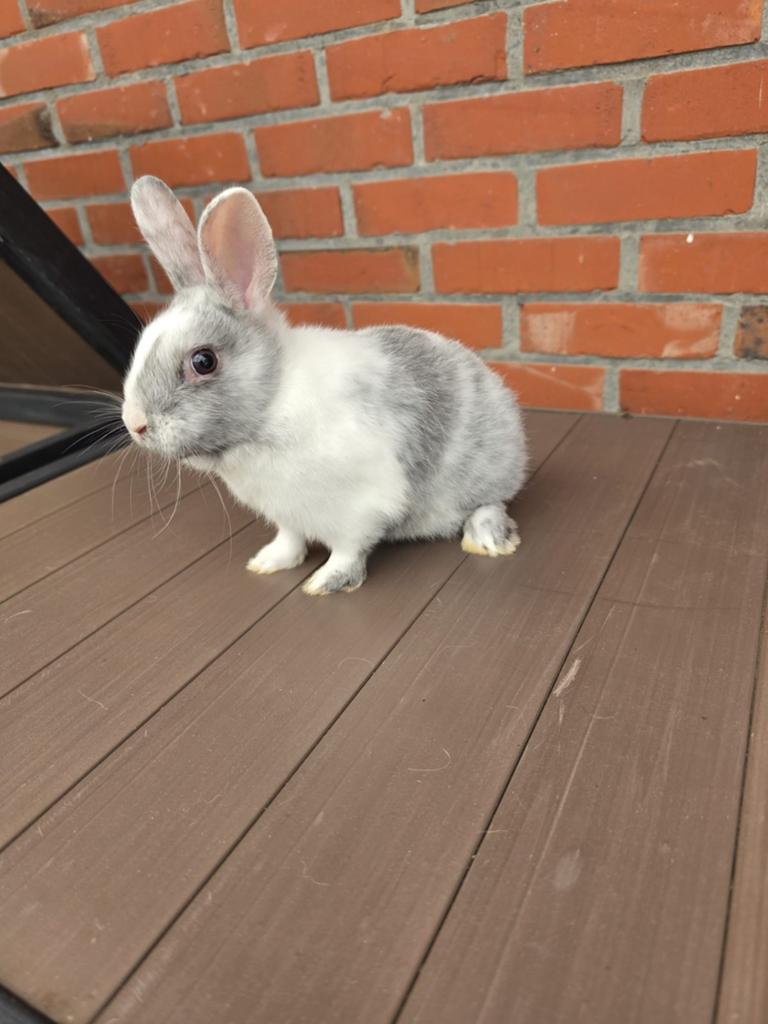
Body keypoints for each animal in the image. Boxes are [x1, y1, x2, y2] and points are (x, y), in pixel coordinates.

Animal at [122, 176, 528, 595]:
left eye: (203, 361)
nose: (135, 424)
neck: (272, 405)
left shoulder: (361, 507)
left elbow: (348, 550)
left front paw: (325, 582)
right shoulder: (286, 513)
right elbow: (290, 539)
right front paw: (268, 562)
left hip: (486, 474)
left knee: (491, 502)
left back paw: (488, 540)